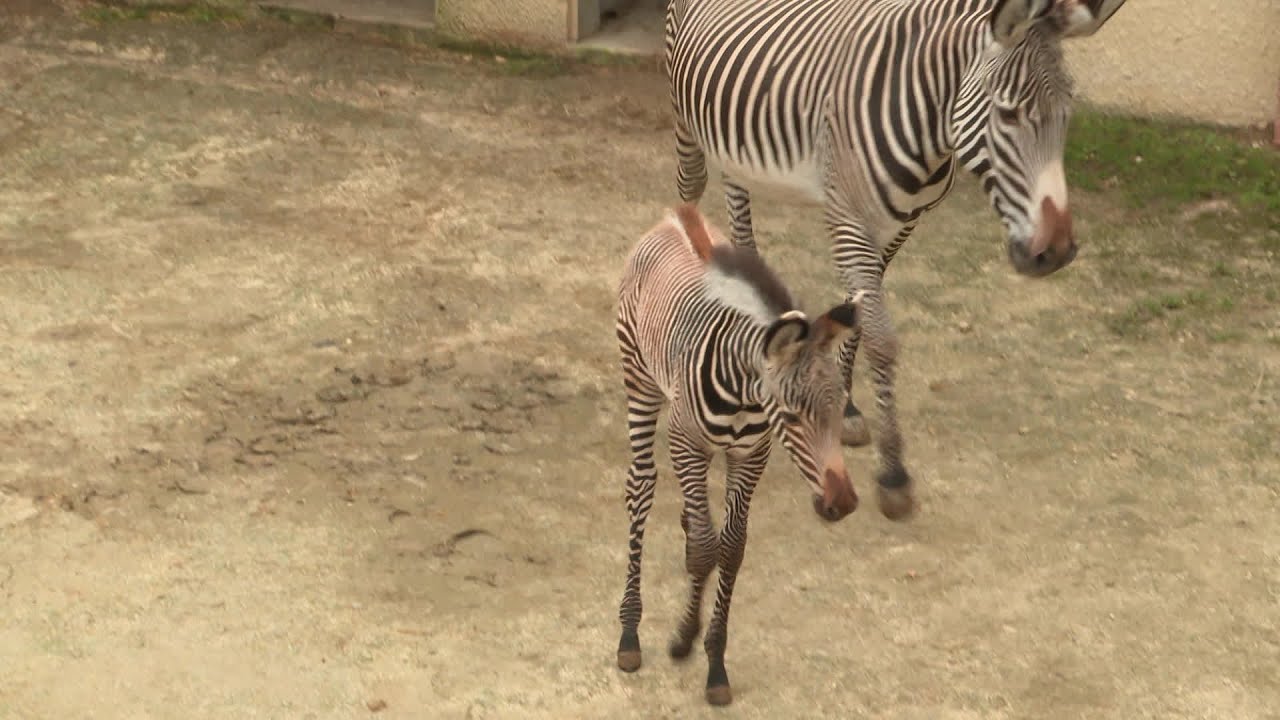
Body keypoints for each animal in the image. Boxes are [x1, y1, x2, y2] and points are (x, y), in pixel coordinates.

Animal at [614, 203, 862, 706]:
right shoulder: (688, 444)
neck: (743, 393)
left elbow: (728, 548)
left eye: (840, 405)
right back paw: (629, 632)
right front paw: (683, 638)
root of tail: (673, 217)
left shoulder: (750, 456)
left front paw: (713, 661)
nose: (843, 503)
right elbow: (705, 548)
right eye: (792, 417)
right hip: (640, 380)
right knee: (641, 488)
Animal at [664, 0, 1128, 521]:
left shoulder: (900, 224)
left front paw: (846, 406)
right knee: (690, 197)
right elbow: (883, 339)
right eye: (1007, 115)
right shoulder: (848, 216)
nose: (1057, 252)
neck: (929, 125)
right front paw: (893, 473)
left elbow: (861, 318)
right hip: (686, 123)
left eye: (1068, 115)